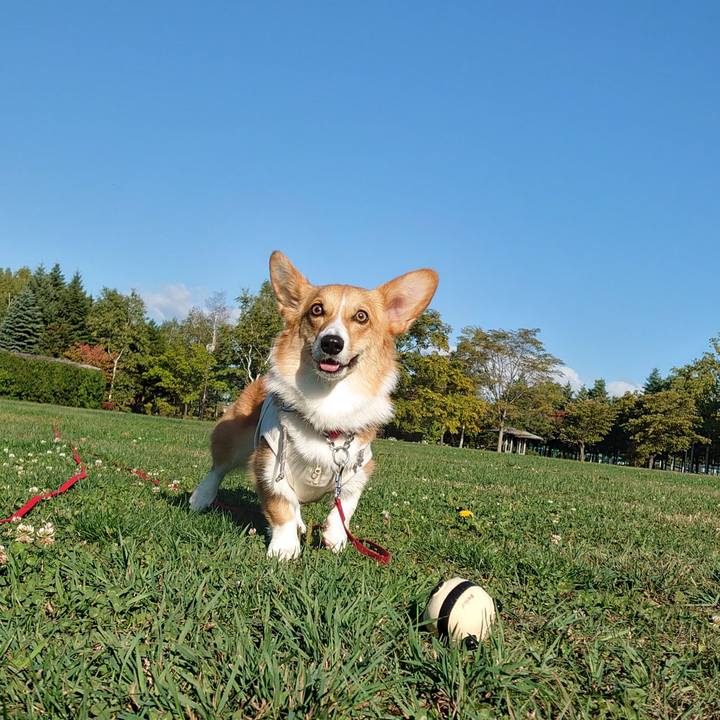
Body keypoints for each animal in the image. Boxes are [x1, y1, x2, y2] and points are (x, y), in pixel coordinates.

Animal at [189, 251, 438, 559]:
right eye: (316, 310)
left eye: (361, 316)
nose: (332, 342)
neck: (327, 399)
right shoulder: (269, 462)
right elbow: (281, 504)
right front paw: (284, 548)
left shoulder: (359, 467)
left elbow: (345, 505)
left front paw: (335, 536)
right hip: (232, 438)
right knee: (218, 469)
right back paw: (200, 498)